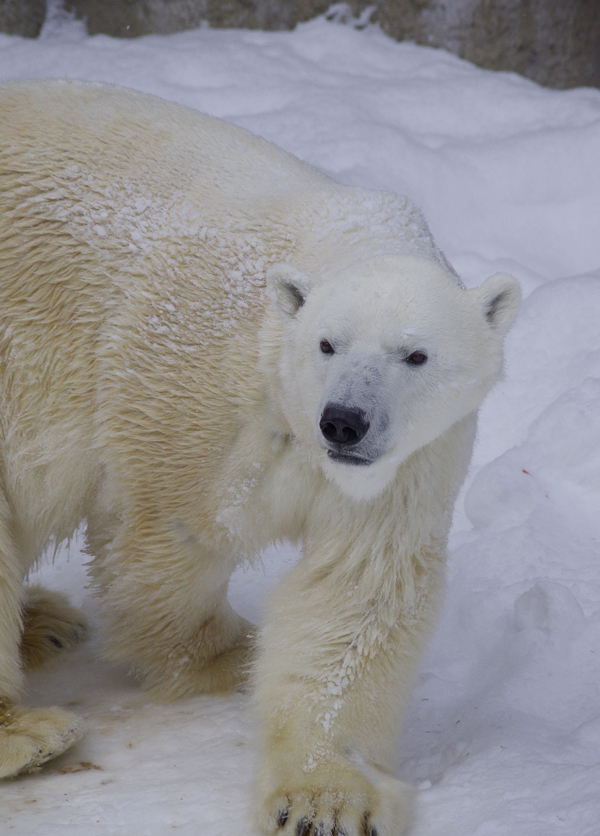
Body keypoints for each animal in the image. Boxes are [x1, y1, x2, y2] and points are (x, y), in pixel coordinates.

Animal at [0, 80, 516, 836]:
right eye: (328, 343)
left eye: (416, 354)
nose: (345, 422)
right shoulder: (187, 385)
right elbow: (169, 535)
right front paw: (229, 652)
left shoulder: (411, 458)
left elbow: (356, 589)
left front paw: (324, 799)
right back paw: (30, 730)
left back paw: (45, 623)